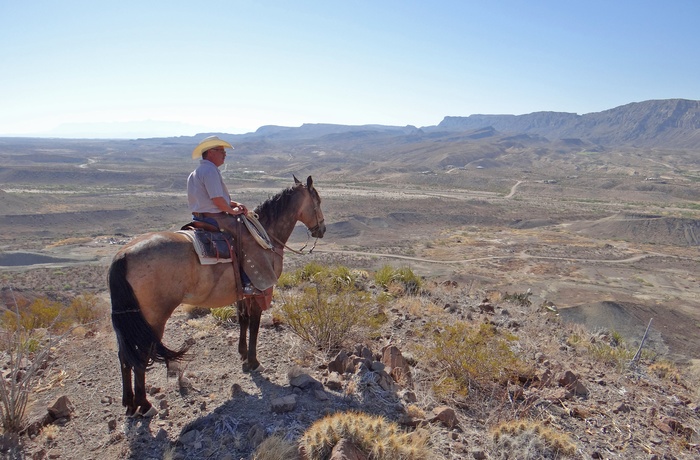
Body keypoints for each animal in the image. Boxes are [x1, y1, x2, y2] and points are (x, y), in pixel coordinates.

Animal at [108, 175, 326, 416]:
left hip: (129, 321)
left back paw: (129, 403)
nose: (322, 229)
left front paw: (242, 355)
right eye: (318, 201)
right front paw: (253, 361)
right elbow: (255, 325)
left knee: (124, 356)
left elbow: (243, 321)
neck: (266, 235)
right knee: (139, 357)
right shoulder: (259, 292)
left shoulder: (243, 294)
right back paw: (145, 405)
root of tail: (123, 255)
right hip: (153, 318)